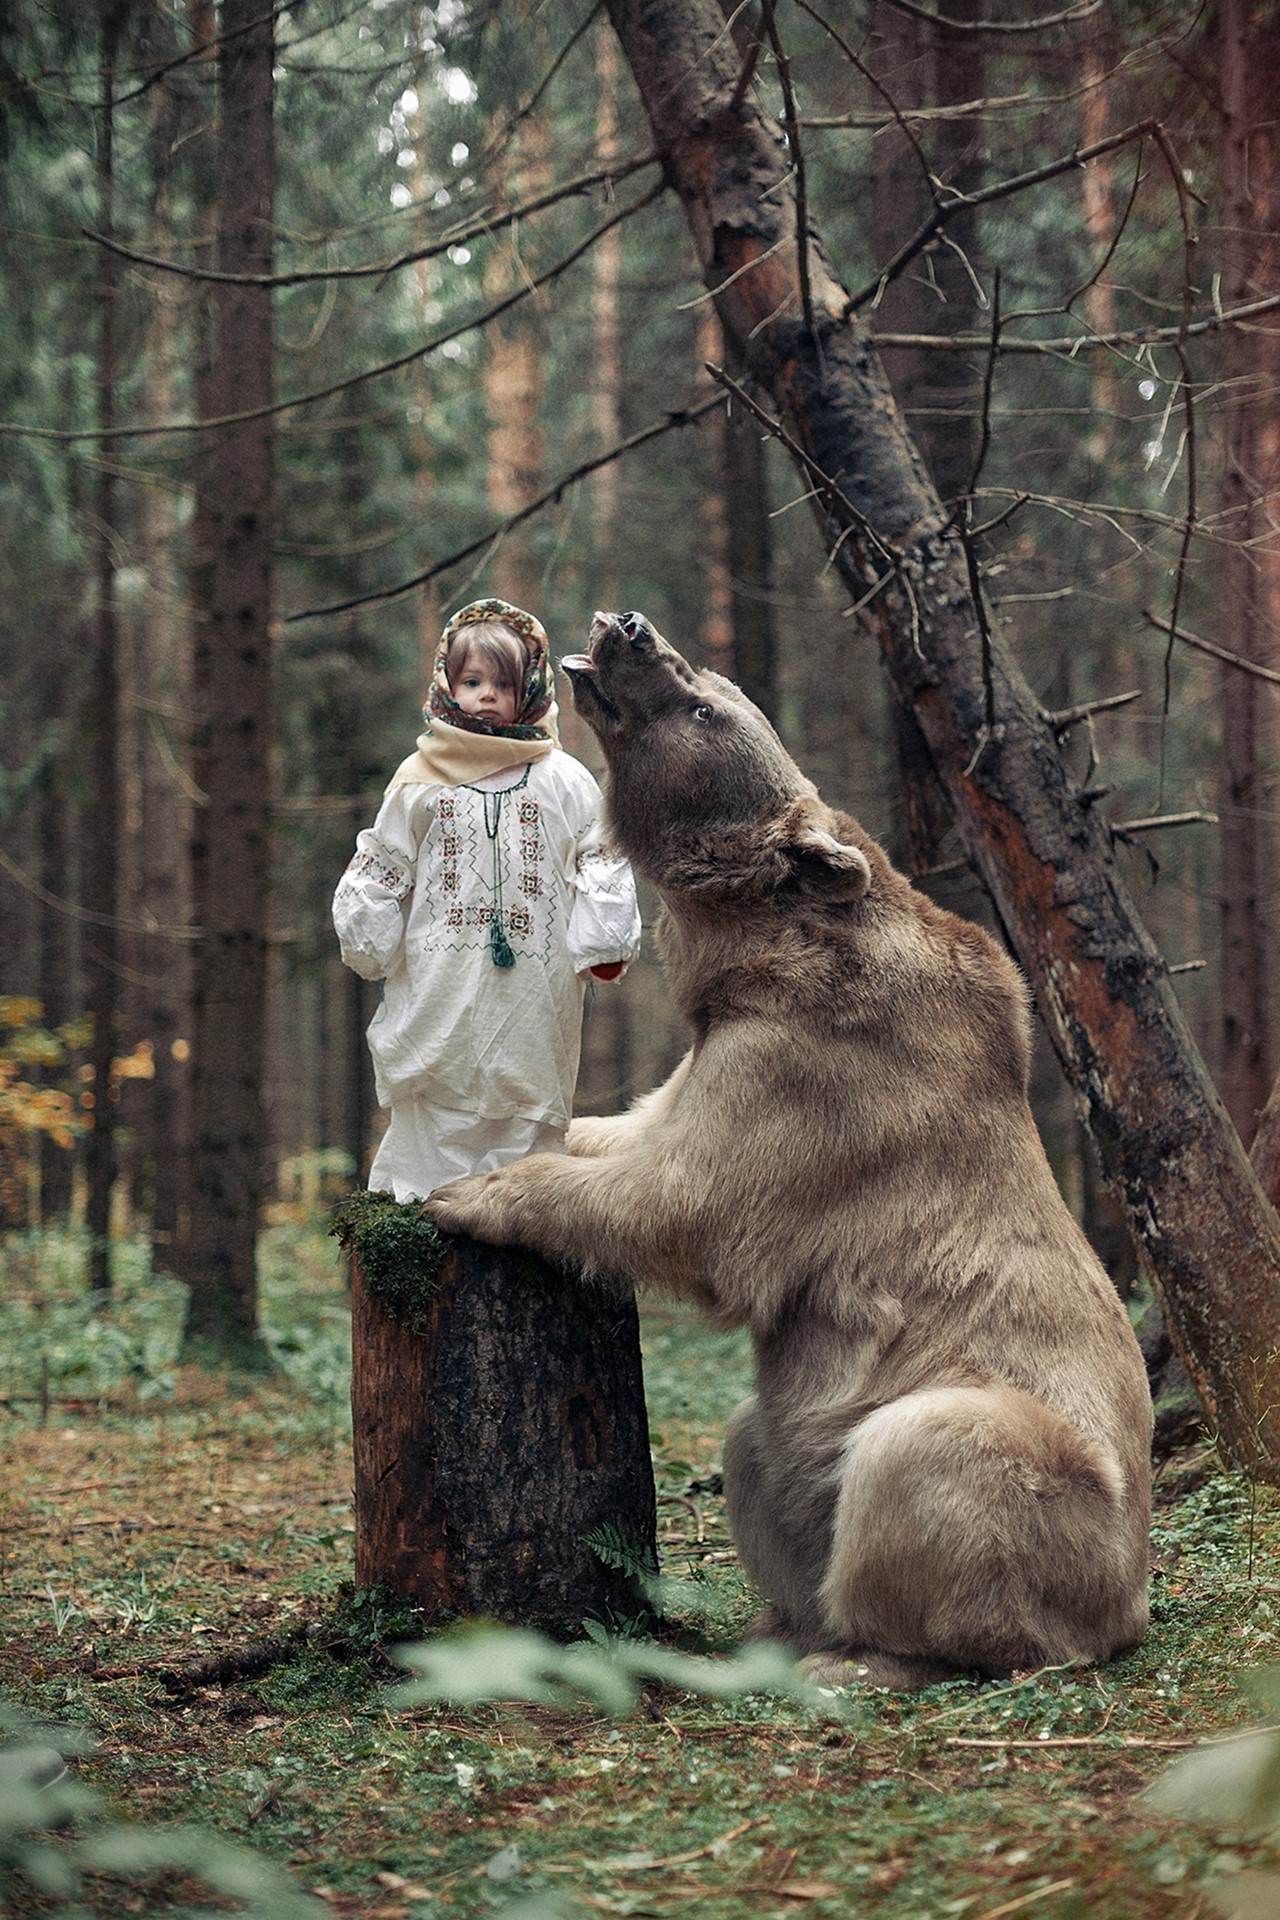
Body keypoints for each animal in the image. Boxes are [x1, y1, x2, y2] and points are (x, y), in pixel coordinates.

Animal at [427, 606, 1151, 1689]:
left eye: (702, 705)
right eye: (709, 678)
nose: (630, 627)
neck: (756, 947)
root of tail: (1133, 1600)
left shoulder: (817, 1076)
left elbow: (685, 1200)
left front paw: (474, 1189)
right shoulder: (722, 1043)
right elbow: (640, 1126)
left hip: (1060, 1496)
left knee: (925, 1456)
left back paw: (862, 1657)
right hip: (806, 1440)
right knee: (756, 1444)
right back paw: (781, 1624)